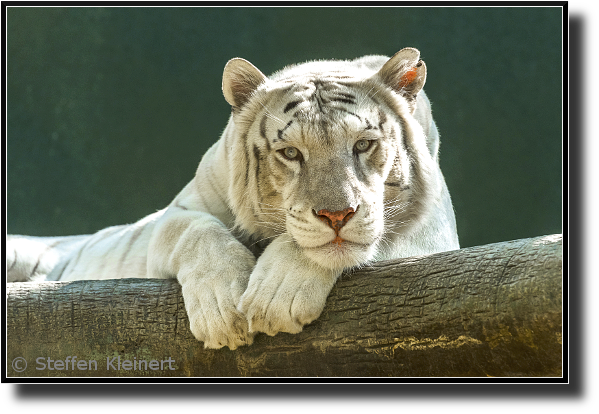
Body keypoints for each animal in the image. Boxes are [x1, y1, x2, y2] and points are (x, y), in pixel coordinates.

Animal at [7, 47, 462, 350]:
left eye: (363, 145)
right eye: (291, 153)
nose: (337, 215)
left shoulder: (433, 231)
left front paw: (277, 296)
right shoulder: (177, 212)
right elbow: (197, 233)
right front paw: (222, 312)